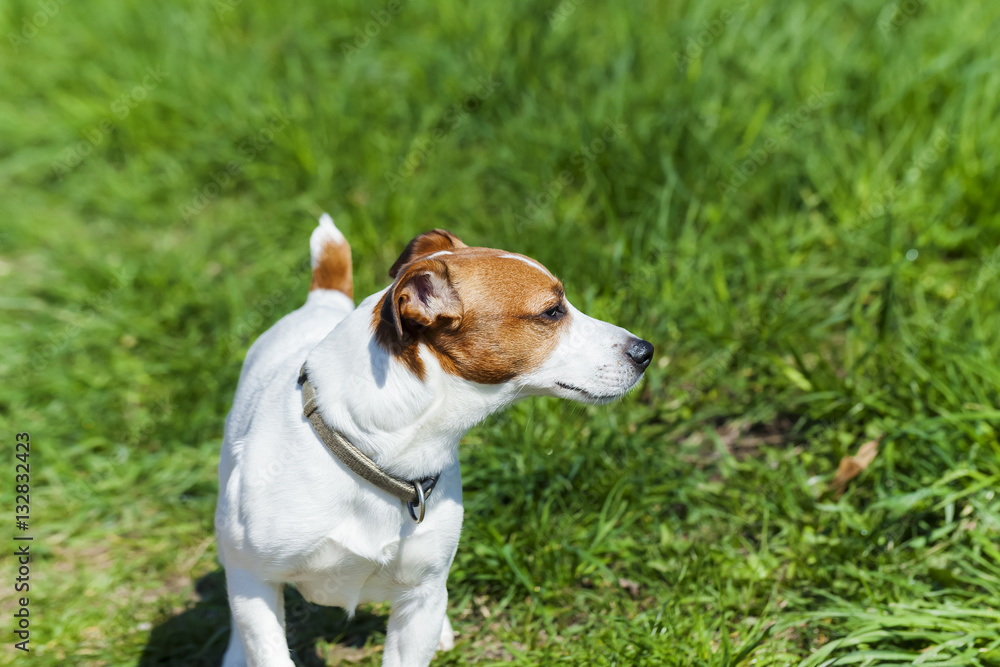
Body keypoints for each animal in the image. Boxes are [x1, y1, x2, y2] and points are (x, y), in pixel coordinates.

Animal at [215, 217, 652, 664]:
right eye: (552, 311)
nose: (646, 351)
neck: (373, 451)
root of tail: (321, 302)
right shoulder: (255, 581)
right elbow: (265, 644)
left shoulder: (421, 593)